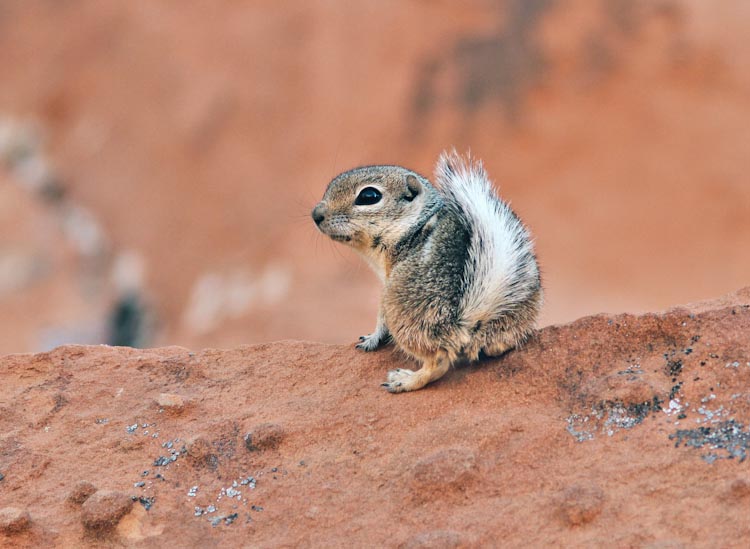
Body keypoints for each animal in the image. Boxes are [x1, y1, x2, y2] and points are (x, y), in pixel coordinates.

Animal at [312, 150, 542, 393]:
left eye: (369, 196)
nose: (316, 214)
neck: (412, 226)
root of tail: (466, 319)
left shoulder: (387, 286)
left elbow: (381, 318)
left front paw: (372, 338)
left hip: (402, 312)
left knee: (439, 361)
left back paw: (404, 380)